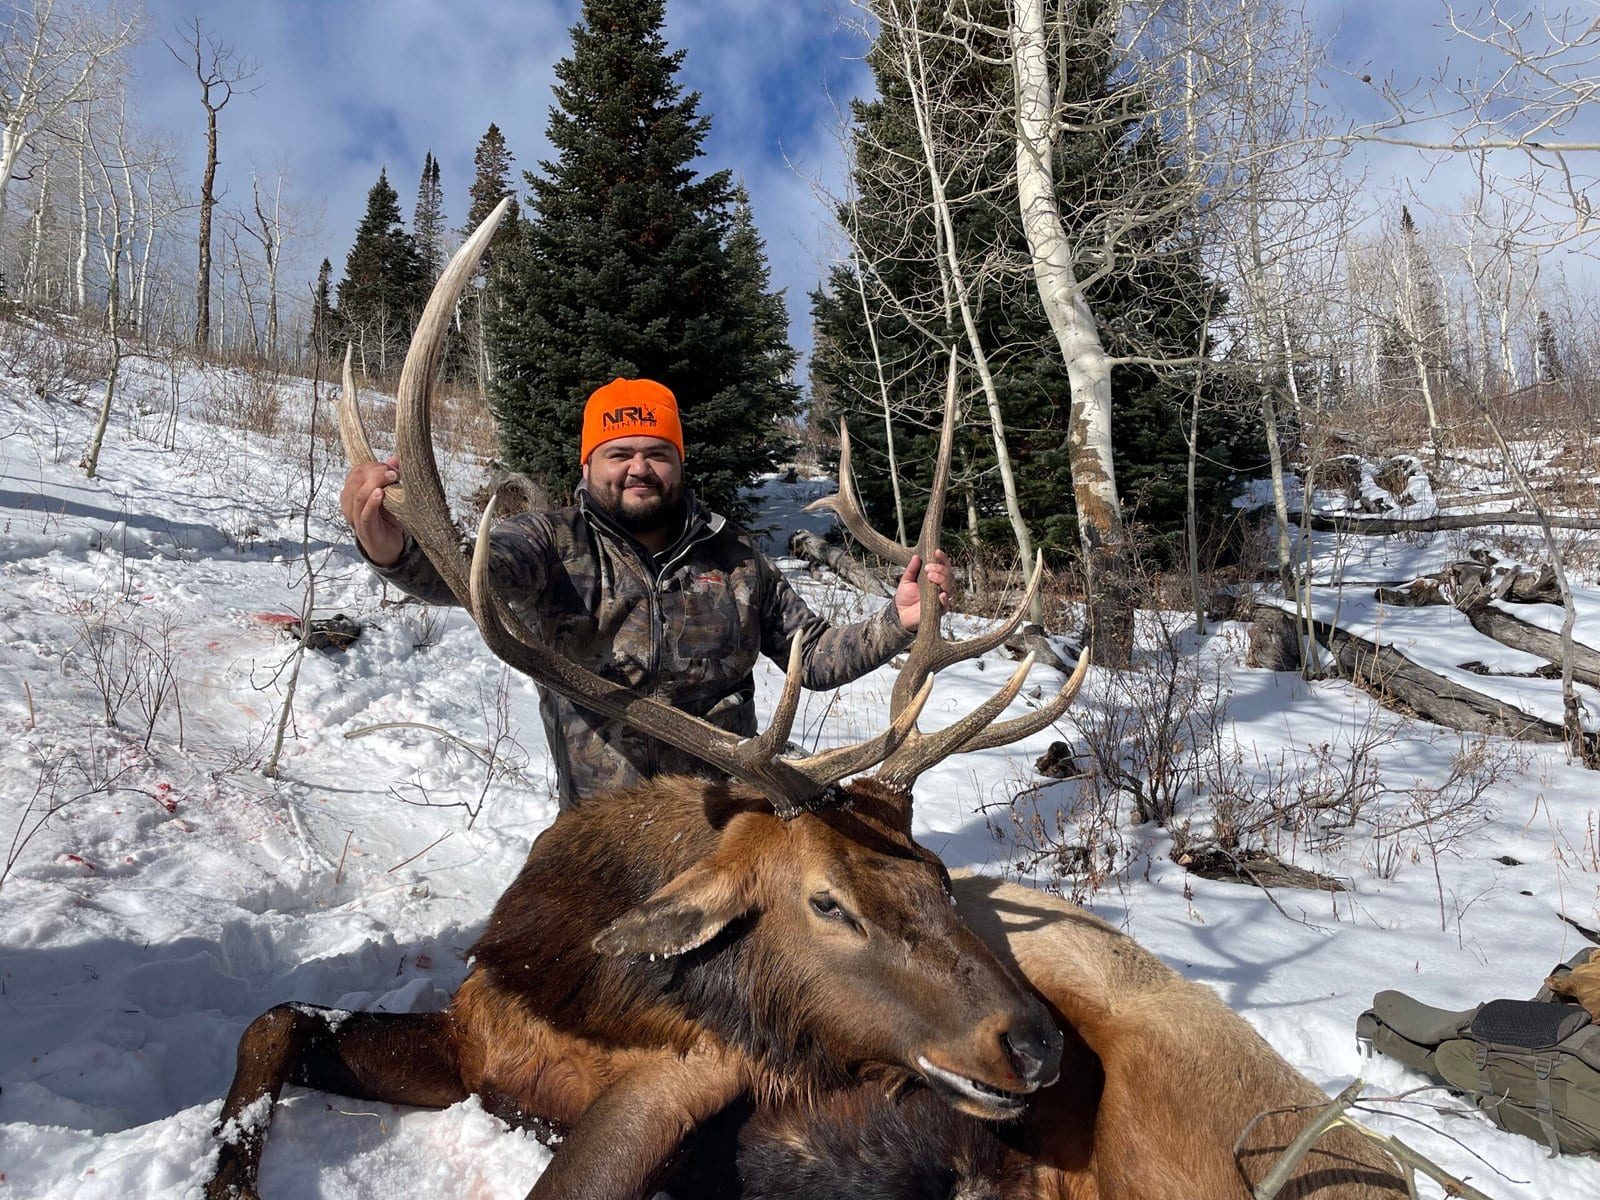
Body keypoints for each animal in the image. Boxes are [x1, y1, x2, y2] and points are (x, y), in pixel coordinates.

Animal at [203, 200, 1405, 1200]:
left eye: (938, 879)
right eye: (827, 902)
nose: (1036, 1047)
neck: (579, 984)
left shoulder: (689, 1077)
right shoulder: (475, 1035)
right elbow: (270, 1019)